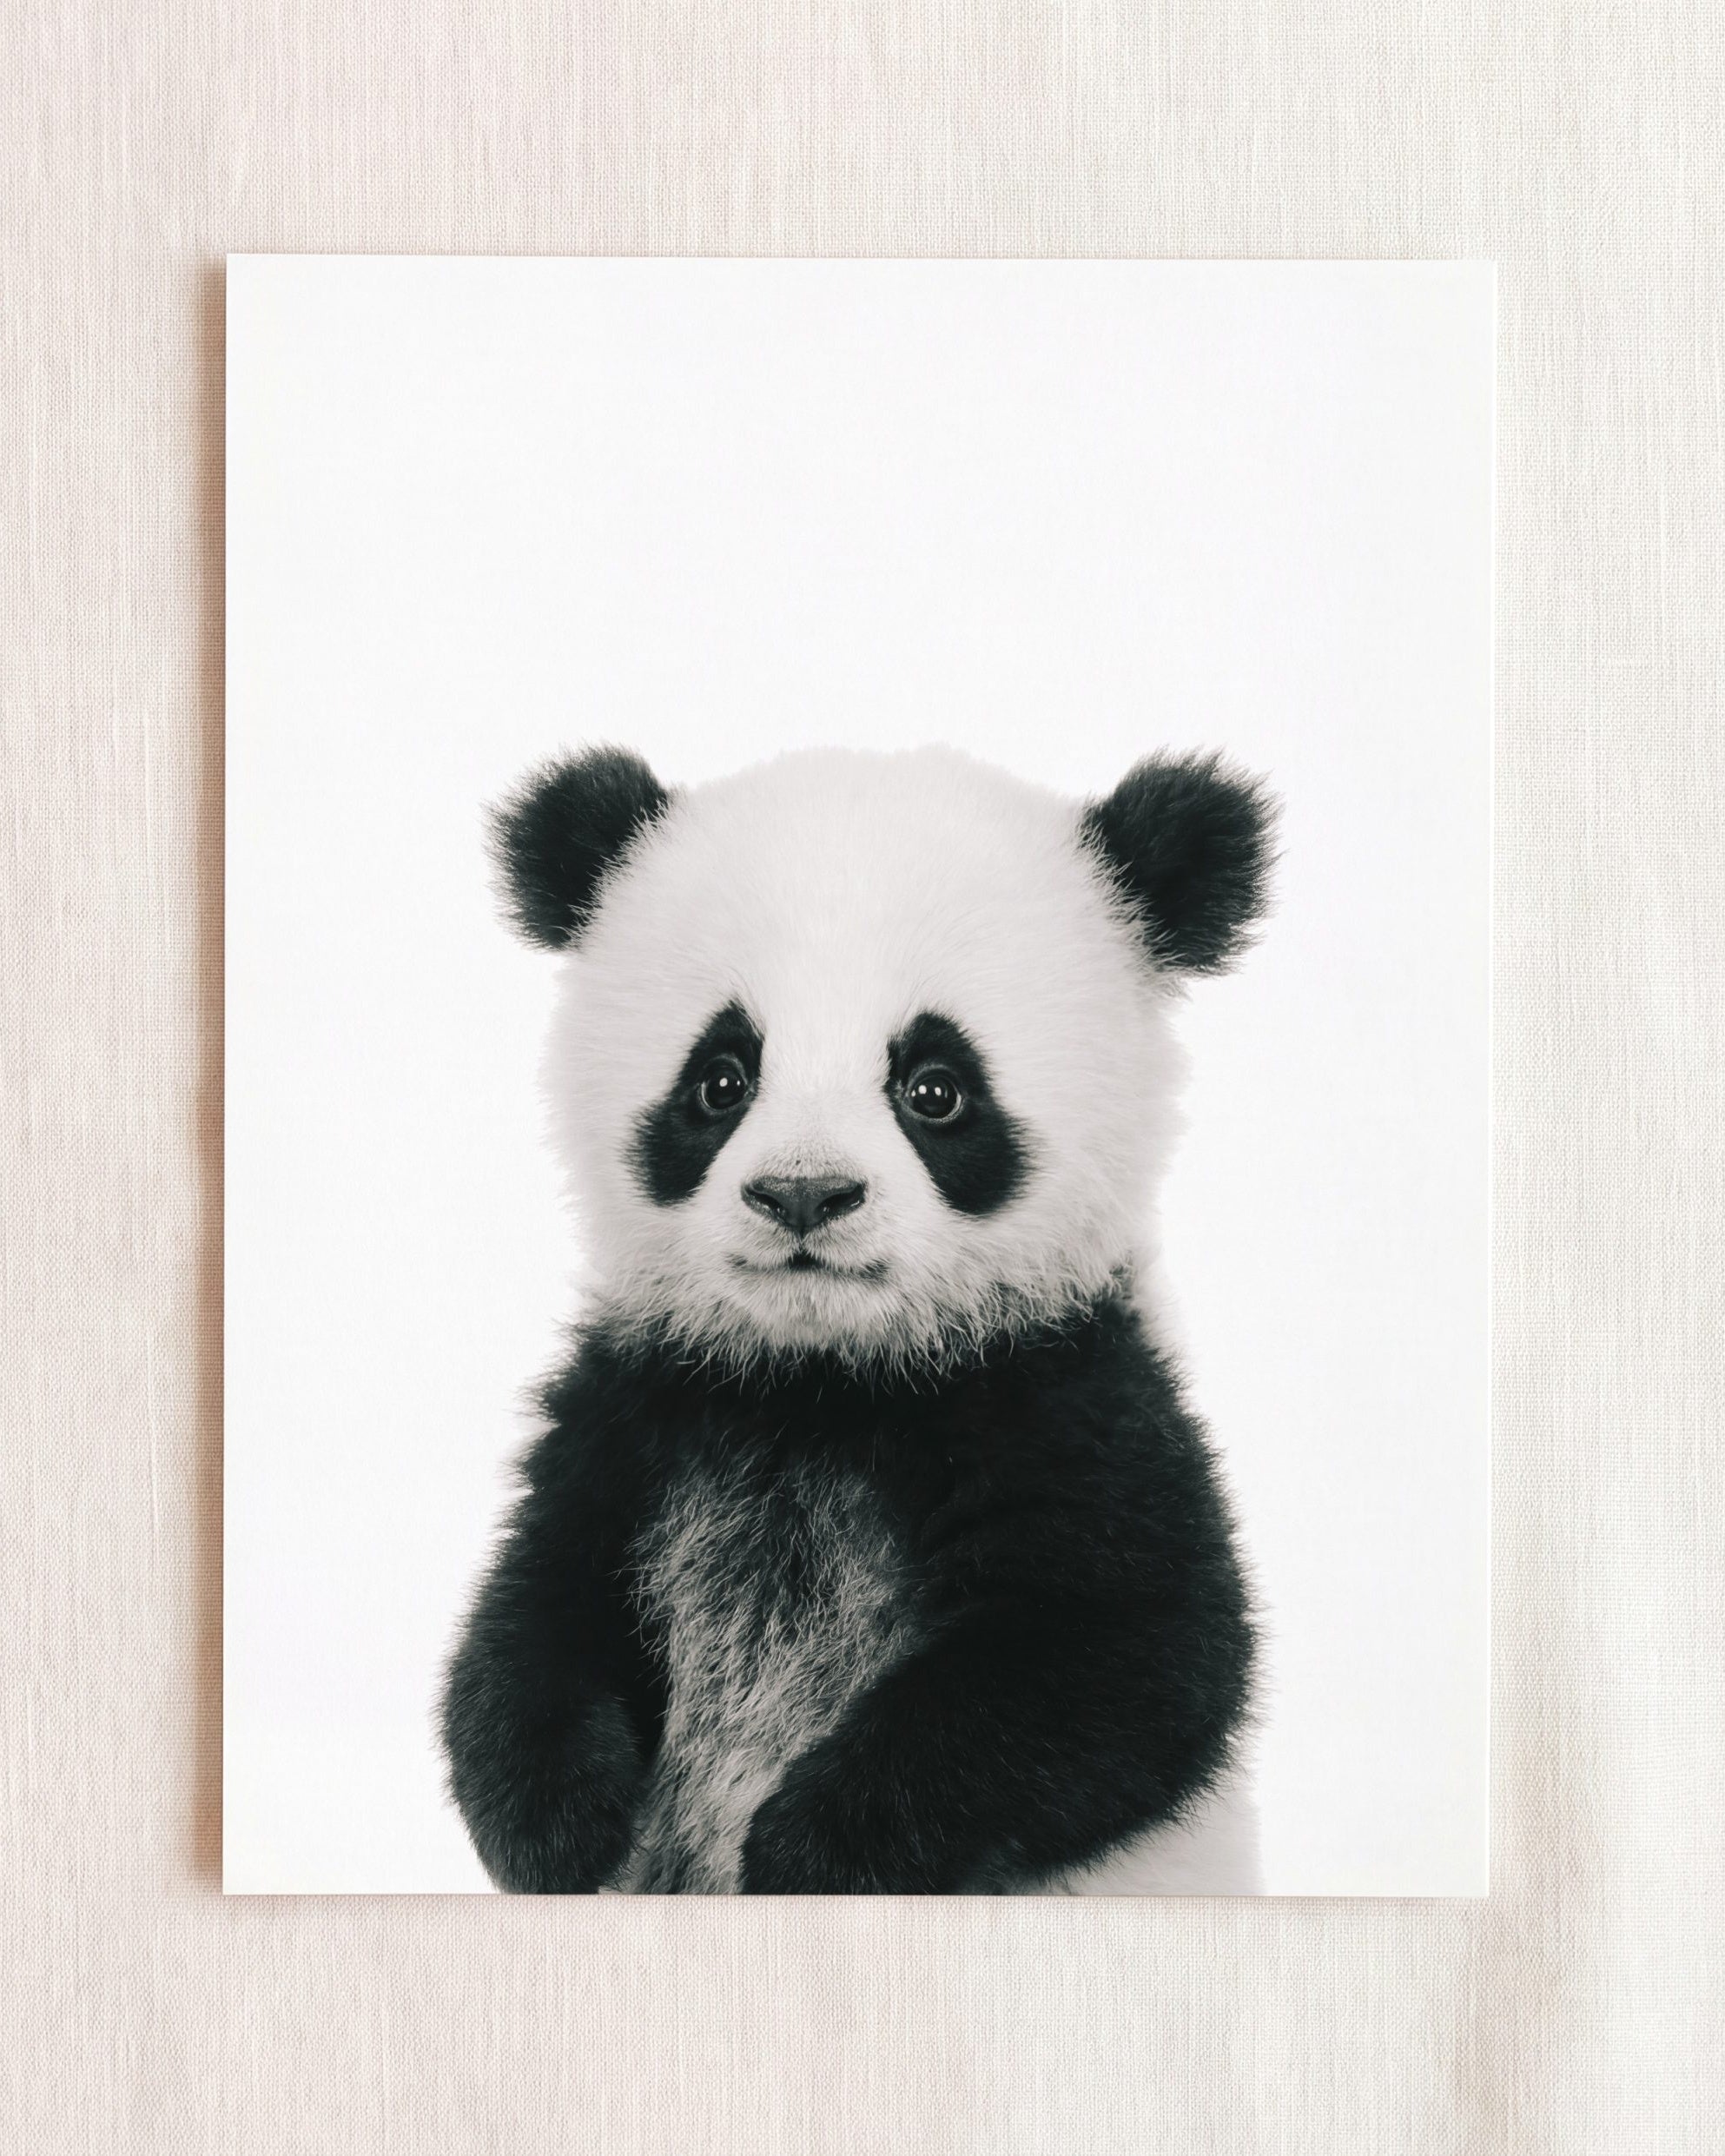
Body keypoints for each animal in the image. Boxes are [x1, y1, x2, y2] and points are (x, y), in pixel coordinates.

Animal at [441, 741, 1276, 1895]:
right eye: (721, 1078)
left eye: (936, 1087)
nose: (804, 1194)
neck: (825, 1378)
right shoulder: (642, 1404)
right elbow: (537, 1607)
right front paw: (557, 1821)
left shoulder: (1069, 1392)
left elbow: (1128, 1657)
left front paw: (813, 1848)